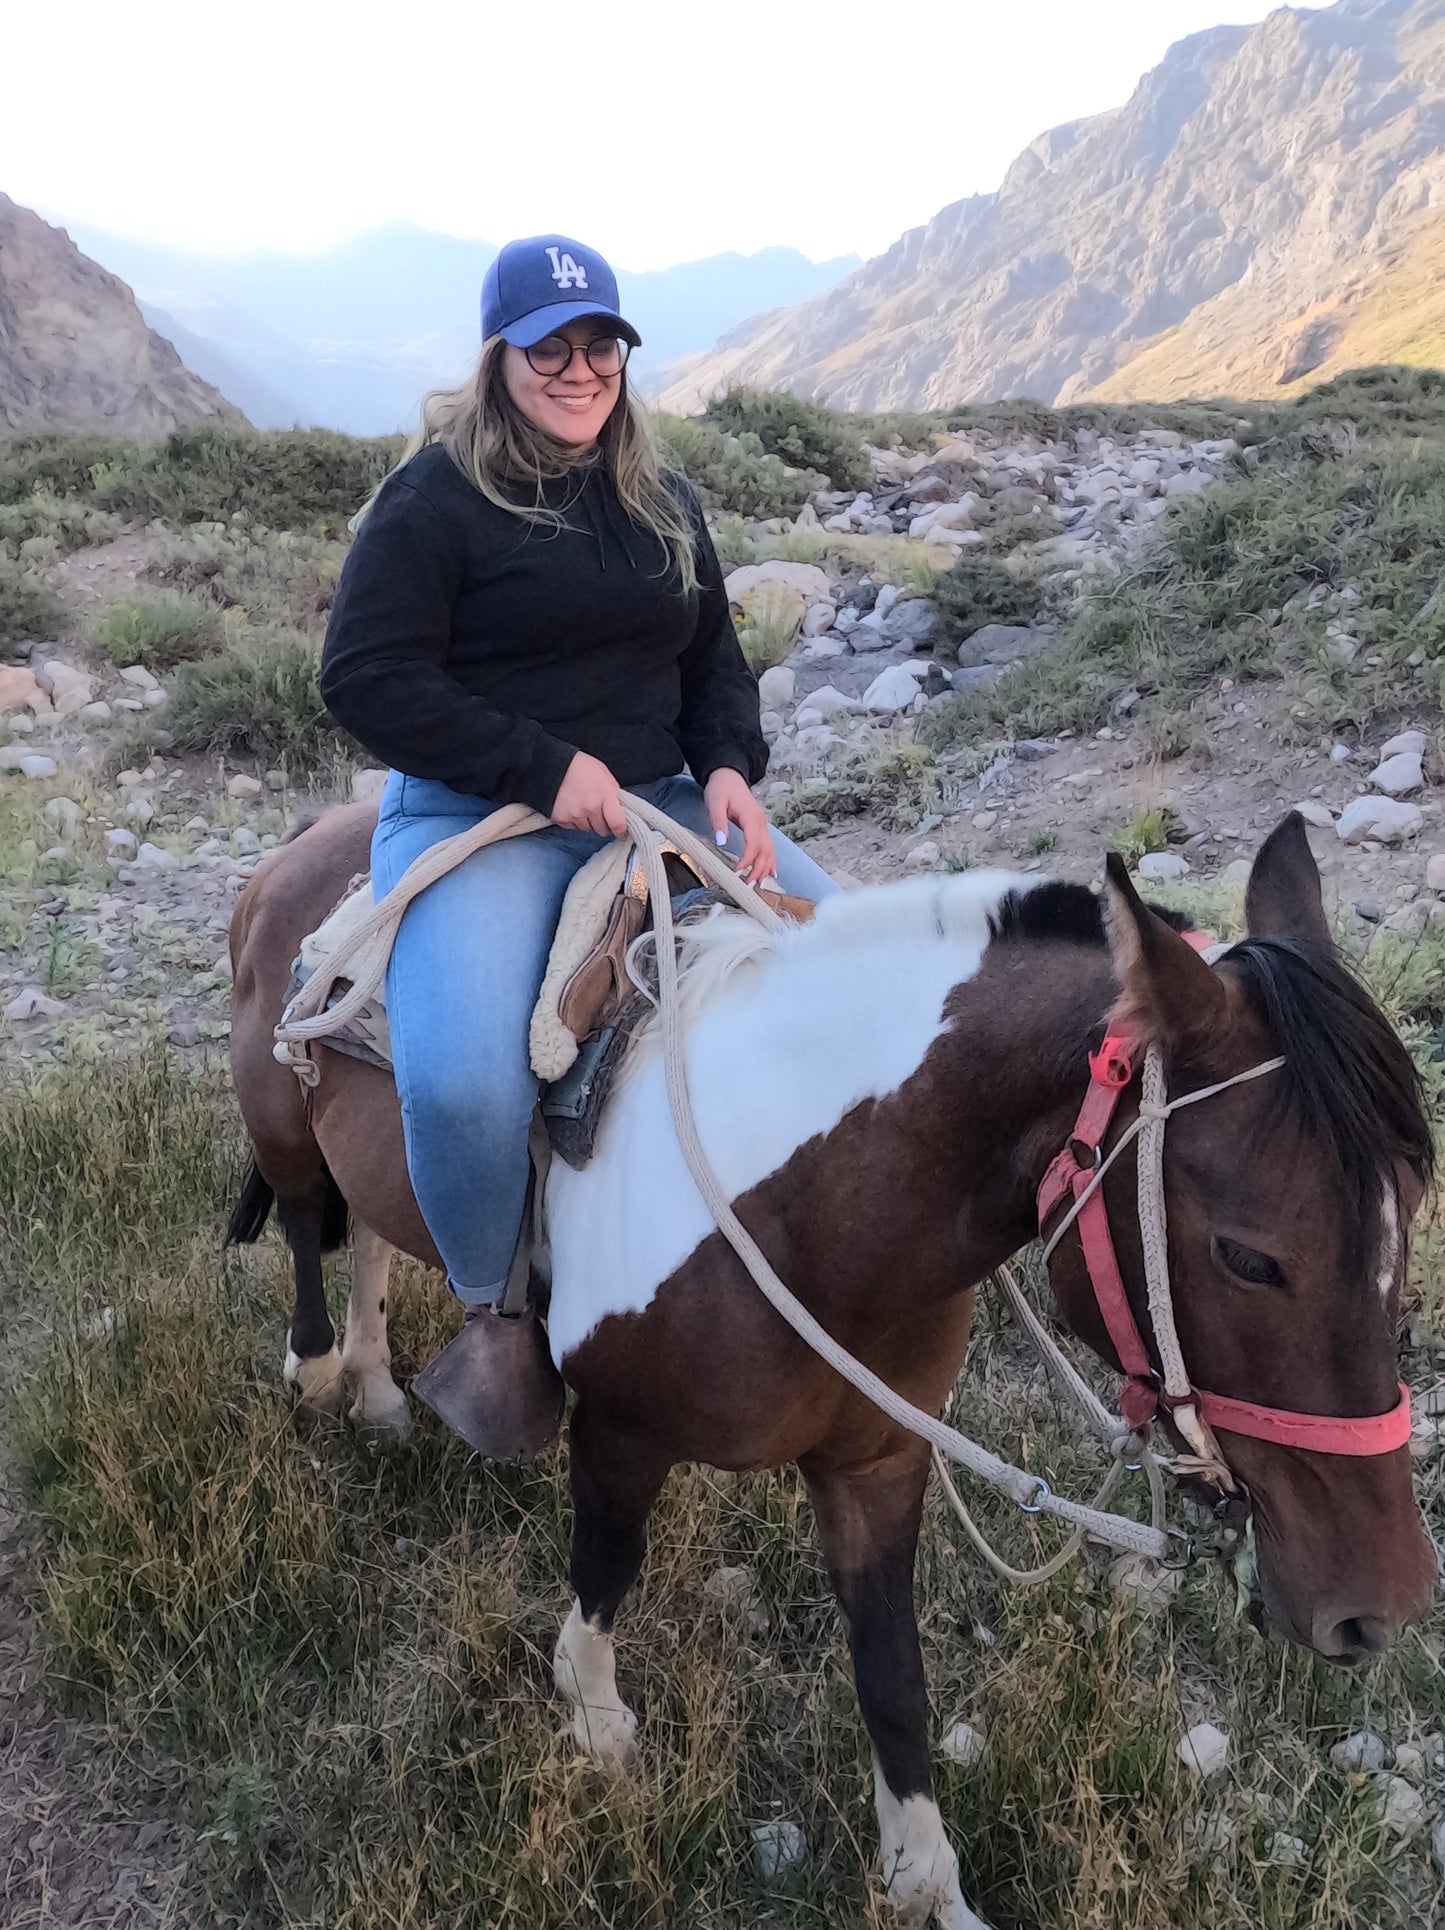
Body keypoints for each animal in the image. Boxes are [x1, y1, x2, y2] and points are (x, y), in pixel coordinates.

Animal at [225, 810, 1435, 1930]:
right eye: (1247, 1254)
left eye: (1409, 1212)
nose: (1379, 1607)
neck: (808, 1205)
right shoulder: (618, 1430)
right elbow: (605, 1573)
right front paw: (597, 1723)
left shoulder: (877, 1461)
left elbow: (893, 1680)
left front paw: (926, 1882)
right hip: (285, 1131)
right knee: (306, 1223)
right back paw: (326, 1373)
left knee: (374, 1236)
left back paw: (381, 1392)